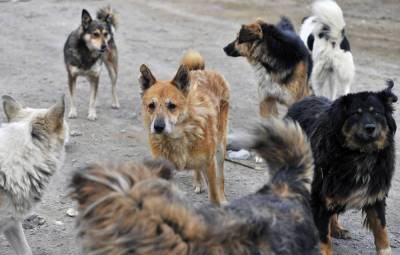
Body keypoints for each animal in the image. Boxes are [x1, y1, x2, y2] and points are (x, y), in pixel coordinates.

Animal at [139, 51, 230, 205]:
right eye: (151, 105)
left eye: (172, 106)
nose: (158, 127)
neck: (179, 136)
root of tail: (202, 71)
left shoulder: (209, 163)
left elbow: (214, 195)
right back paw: (198, 182)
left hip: (220, 147)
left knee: (221, 178)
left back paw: (223, 198)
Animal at [288, 79, 396, 255]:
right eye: (356, 113)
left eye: (376, 113)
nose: (370, 128)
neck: (360, 154)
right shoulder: (319, 195)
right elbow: (323, 235)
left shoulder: (375, 193)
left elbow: (382, 229)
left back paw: (337, 229)